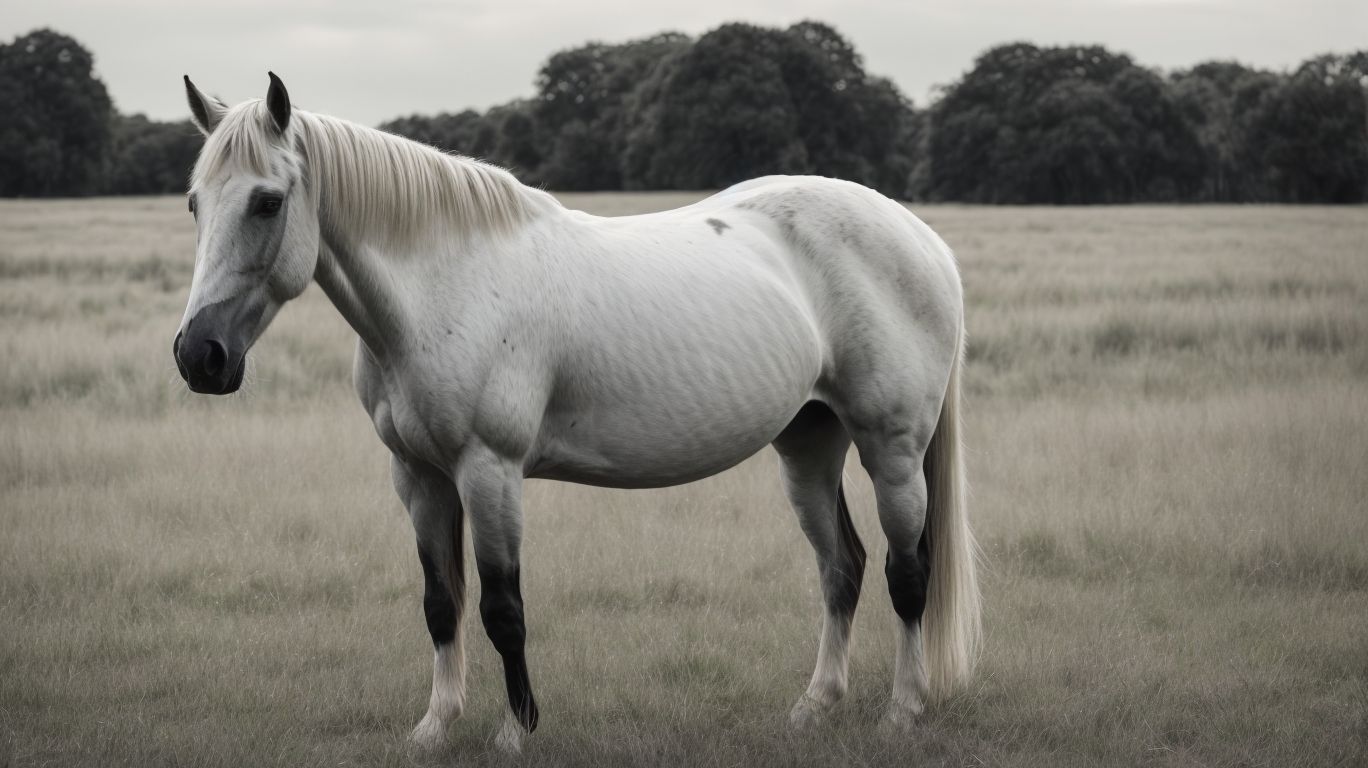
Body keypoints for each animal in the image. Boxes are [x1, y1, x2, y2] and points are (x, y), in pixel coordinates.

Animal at [173, 72, 980, 752]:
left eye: (268, 201)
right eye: (195, 203)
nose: (198, 356)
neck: (449, 284)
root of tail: (923, 238)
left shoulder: (489, 473)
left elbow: (502, 607)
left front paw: (514, 732)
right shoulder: (419, 478)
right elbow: (441, 602)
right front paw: (435, 727)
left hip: (892, 451)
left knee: (908, 573)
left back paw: (902, 711)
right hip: (808, 447)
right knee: (841, 568)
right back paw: (815, 707)